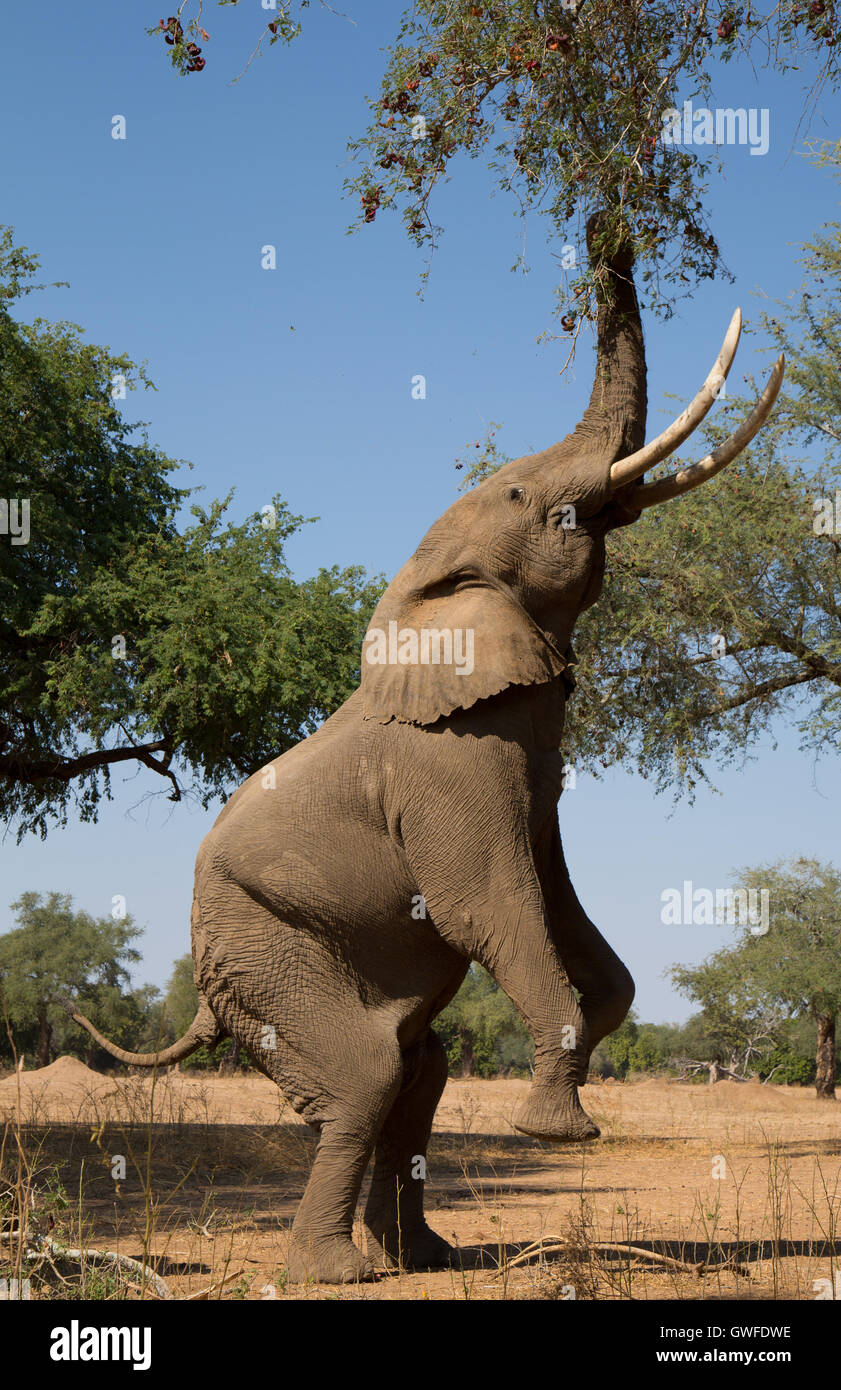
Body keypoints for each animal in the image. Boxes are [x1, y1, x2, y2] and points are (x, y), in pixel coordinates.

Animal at [68, 211, 784, 1284]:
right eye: (525, 495)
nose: (600, 223)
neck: (425, 589)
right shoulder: (451, 766)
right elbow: (488, 904)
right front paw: (559, 1133)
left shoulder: (526, 779)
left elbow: (555, 904)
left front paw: (589, 1038)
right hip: (261, 946)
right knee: (366, 1076)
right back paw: (336, 1274)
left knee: (419, 1069)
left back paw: (426, 1261)